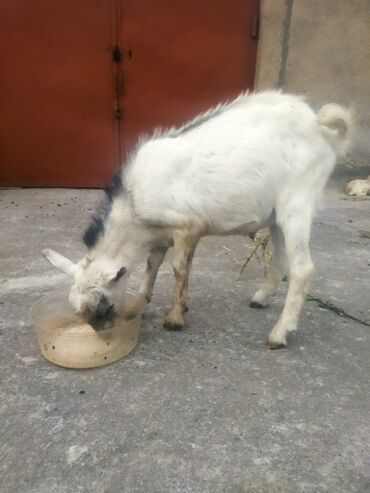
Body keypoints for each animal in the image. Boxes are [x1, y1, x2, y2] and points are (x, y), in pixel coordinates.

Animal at [43, 90, 352, 348]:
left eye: (103, 303)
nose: (104, 336)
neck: (132, 203)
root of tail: (318, 123)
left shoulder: (187, 227)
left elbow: (180, 269)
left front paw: (175, 318)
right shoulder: (160, 236)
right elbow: (152, 267)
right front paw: (141, 304)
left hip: (297, 201)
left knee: (303, 269)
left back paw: (278, 334)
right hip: (276, 215)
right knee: (280, 258)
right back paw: (260, 298)